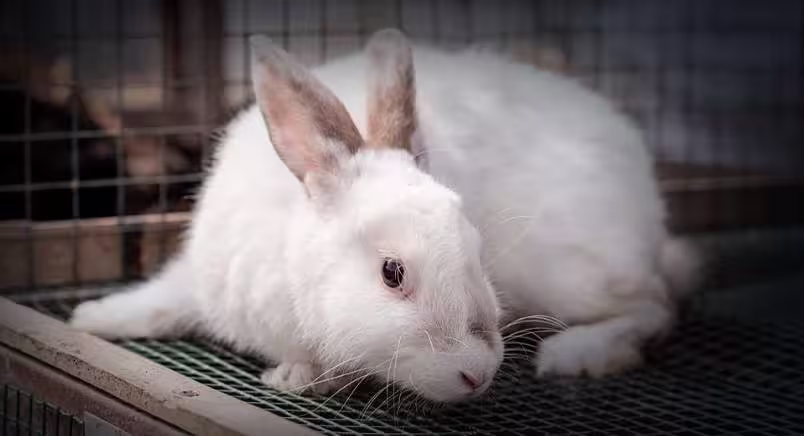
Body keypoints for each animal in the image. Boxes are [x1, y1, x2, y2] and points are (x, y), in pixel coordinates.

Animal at [69, 29, 699, 402]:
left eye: (478, 252)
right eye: (392, 273)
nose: (478, 373)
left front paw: (297, 377)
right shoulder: (206, 280)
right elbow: (160, 301)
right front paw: (92, 318)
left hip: (573, 276)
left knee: (658, 305)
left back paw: (575, 353)